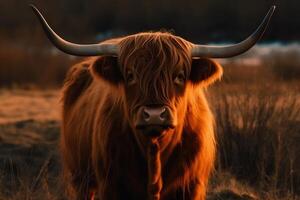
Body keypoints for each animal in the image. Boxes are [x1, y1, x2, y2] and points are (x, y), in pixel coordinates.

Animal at [30, 4, 274, 200]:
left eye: (179, 75)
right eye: (130, 75)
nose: (154, 115)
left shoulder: (191, 186)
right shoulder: (111, 185)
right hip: (81, 179)